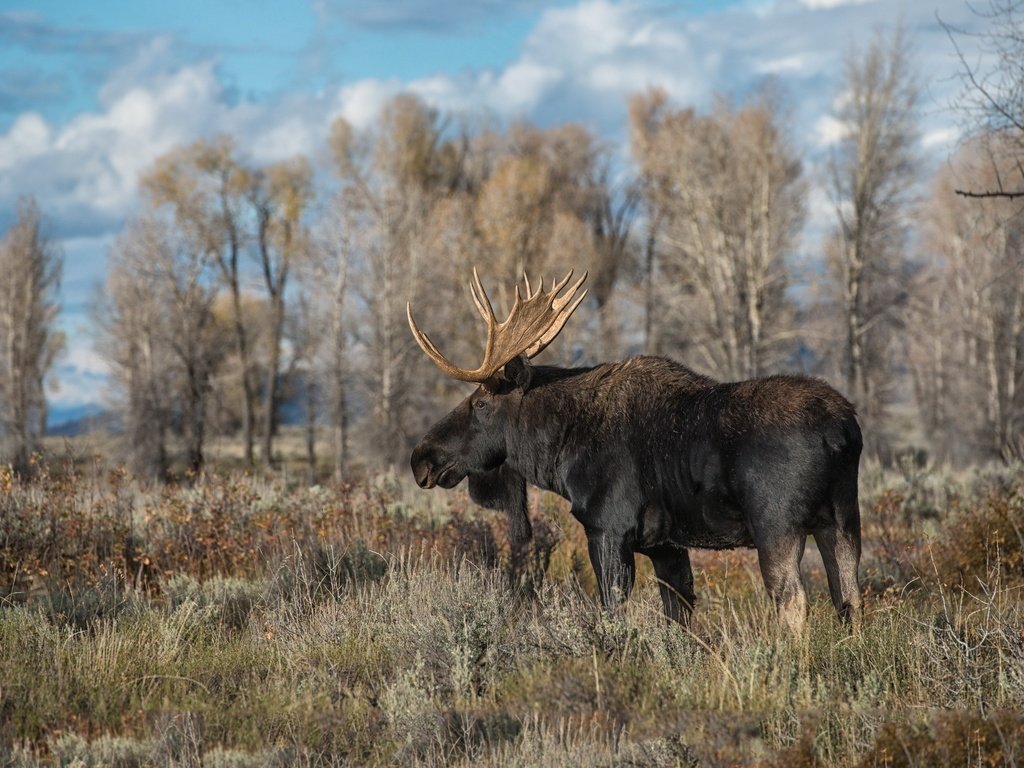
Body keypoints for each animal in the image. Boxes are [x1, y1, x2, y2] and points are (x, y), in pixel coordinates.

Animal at [407, 268, 864, 630]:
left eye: (481, 402)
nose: (421, 459)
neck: (558, 453)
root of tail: (842, 430)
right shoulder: (667, 546)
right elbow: (679, 618)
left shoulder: (608, 529)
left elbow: (613, 613)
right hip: (841, 518)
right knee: (849, 598)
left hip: (777, 524)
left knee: (794, 602)